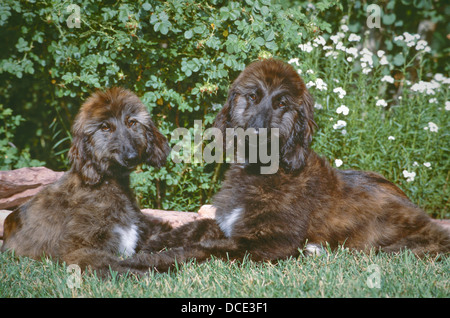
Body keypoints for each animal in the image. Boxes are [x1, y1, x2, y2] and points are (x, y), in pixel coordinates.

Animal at [0, 87, 173, 274]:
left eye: (132, 122)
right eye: (105, 127)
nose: (131, 157)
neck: (108, 185)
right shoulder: (76, 248)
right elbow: (113, 264)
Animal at [110, 58, 448, 274]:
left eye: (282, 103)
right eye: (252, 96)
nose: (258, 134)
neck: (263, 174)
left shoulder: (269, 243)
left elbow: (205, 247)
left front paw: (145, 262)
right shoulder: (229, 222)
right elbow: (196, 227)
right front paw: (152, 243)